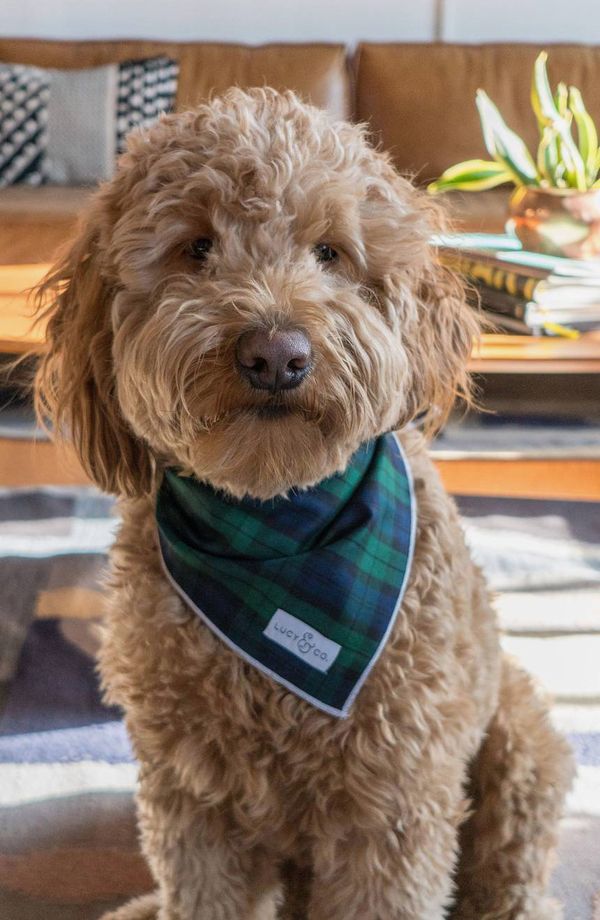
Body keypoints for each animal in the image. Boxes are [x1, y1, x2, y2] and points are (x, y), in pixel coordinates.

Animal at [35, 88, 576, 920]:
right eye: (196, 247)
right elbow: (203, 895)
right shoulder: (191, 795)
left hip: (522, 743)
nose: (275, 354)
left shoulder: (394, 801)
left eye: (330, 253)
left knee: (508, 876)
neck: (278, 528)